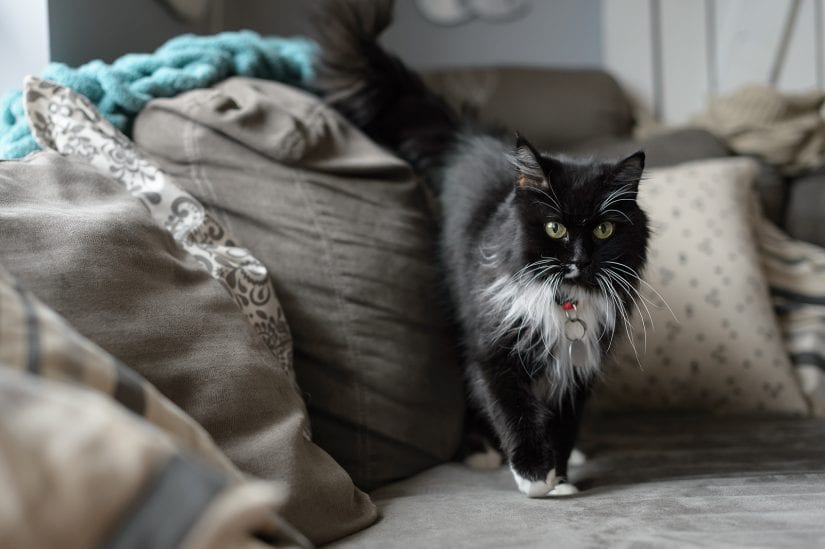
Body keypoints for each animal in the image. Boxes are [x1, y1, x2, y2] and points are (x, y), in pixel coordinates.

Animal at [310, 0, 652, 496]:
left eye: (605, 230)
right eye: (554, 228)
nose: (579, 260)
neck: (564, 303)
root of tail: (468, 139)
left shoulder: (581, 364)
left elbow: (564, 422)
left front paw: (561, 474)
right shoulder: (493, 348)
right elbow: (512, 409)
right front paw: (535, 475)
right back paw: (480, 452)